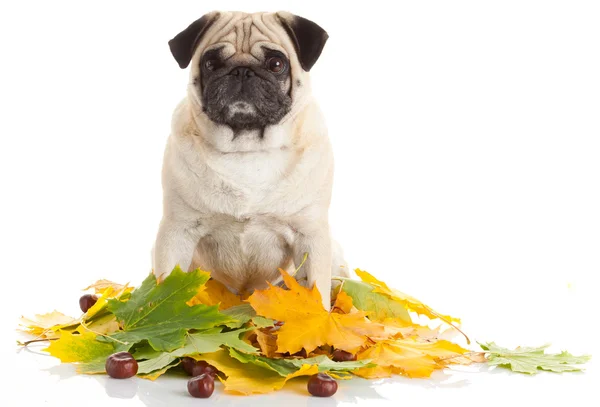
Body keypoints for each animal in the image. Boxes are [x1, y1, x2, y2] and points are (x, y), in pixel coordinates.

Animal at [151, 11, 346, 310]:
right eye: (211, 64)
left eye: (276, 64)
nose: (241, 71)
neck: (247, 149)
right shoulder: (177, 231)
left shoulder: (310, 236)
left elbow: (315, 293)